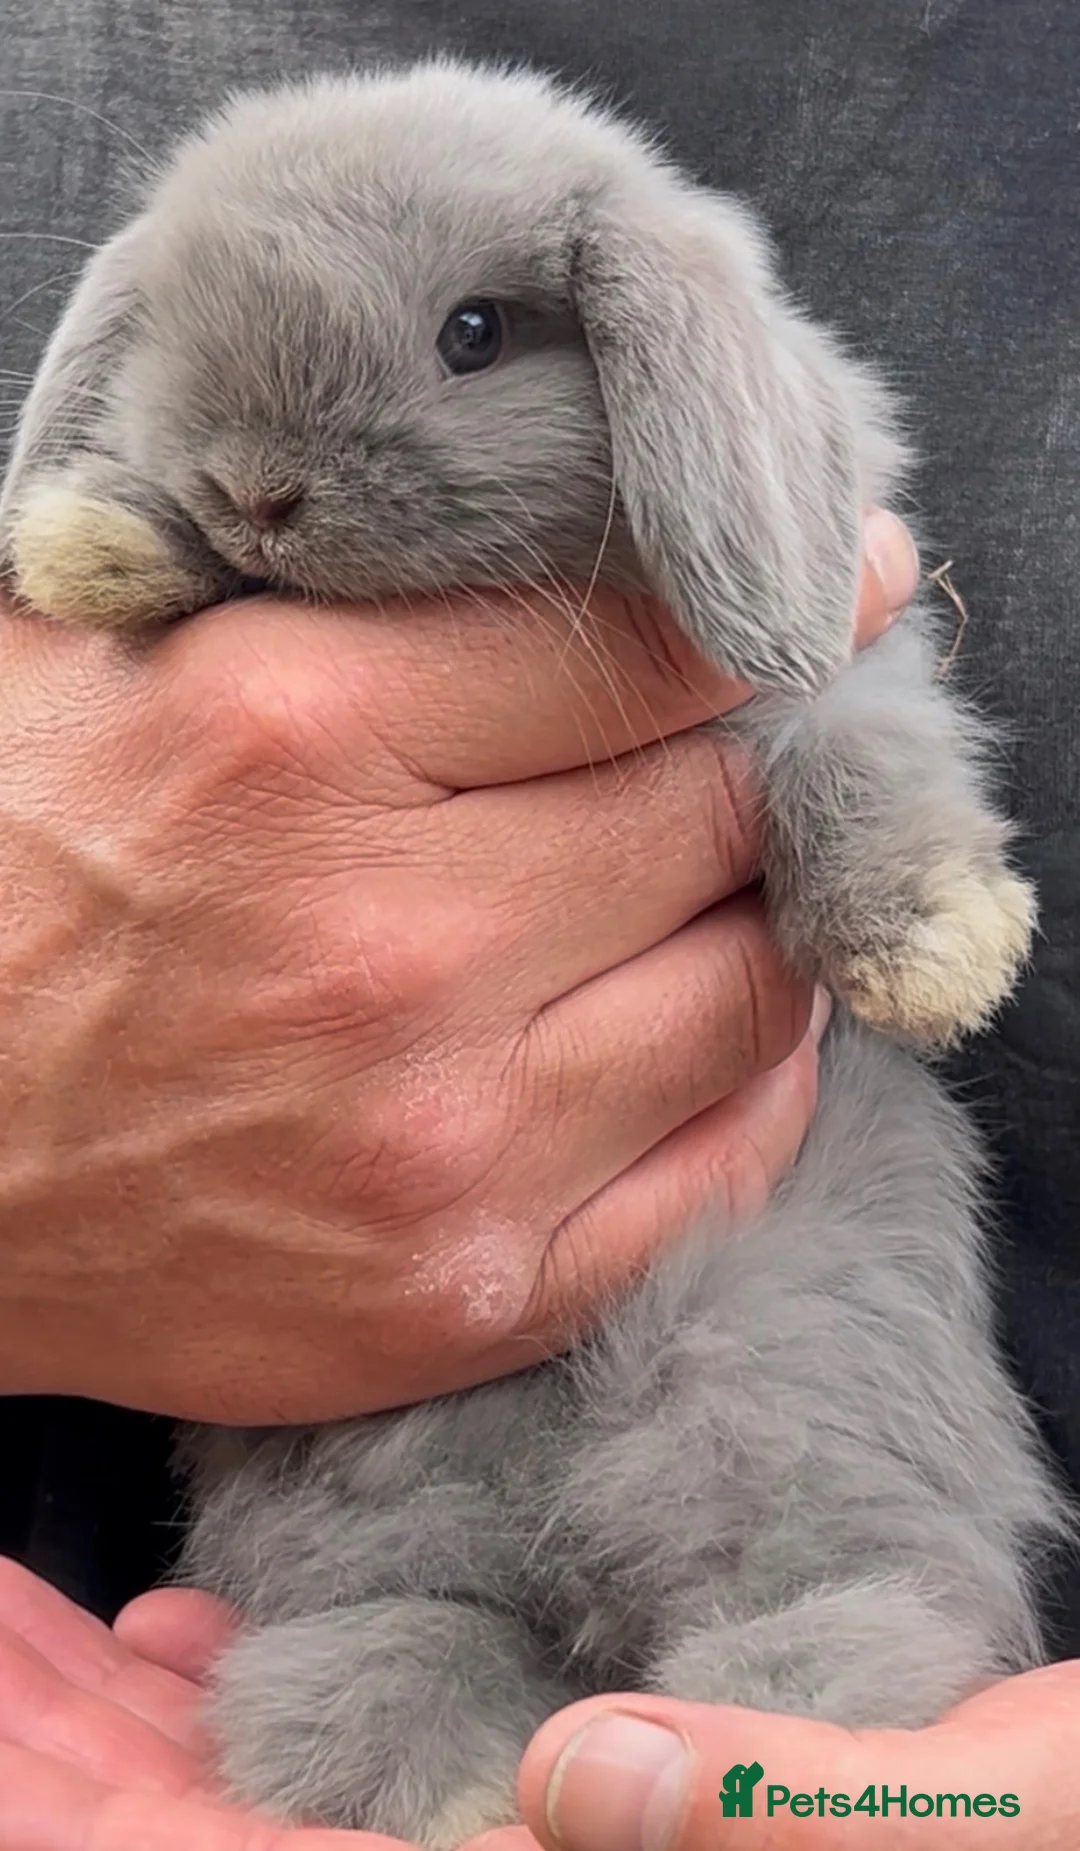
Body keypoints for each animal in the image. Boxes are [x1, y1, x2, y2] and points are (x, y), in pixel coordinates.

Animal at [0, 58, 1069, 1849]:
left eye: (476, 333)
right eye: (172, 338)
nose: (258, 487)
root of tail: (583, 1561)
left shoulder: (834, 694)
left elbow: (859, 762)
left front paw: (938, 957)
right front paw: (97, 542)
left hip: (788, 1413)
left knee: (856, 1592)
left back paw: (769, 1715)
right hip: (364, 1520)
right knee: (389, 1641)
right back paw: (453, 1779)